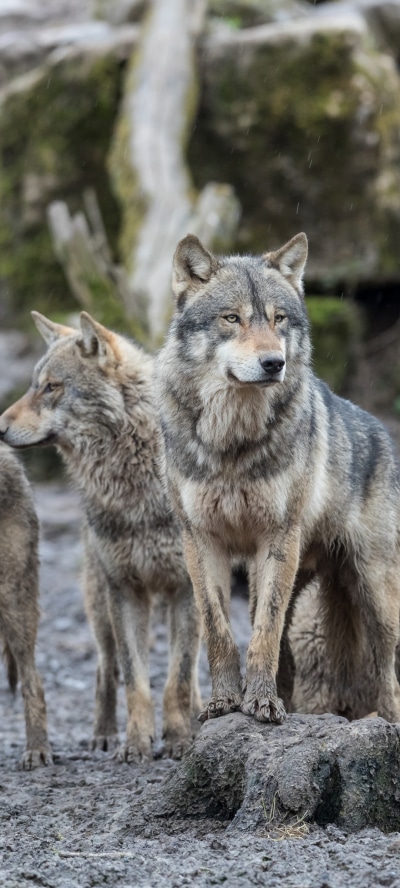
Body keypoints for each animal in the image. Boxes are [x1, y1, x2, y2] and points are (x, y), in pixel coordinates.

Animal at [0, 312, 201, 762]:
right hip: (98, 602)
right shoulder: (123, 589)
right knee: (104, 668)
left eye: (52, 387)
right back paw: (104, 734)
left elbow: (177, 679)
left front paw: (180, 739)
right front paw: (135, 744)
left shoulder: (187, 589)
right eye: (33, 384)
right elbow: (134, 680)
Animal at [157, 231, 400, 726]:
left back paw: (382, 719)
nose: (274, 363)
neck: (232, 441)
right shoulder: (200, 540)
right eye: (232, 318)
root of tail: (382, 431)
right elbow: (219, 630)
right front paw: (224, 703)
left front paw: (263, 704)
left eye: (278, 318)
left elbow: (263, 632)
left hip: (375, 592)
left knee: (387, 672)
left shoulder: (277, 538)